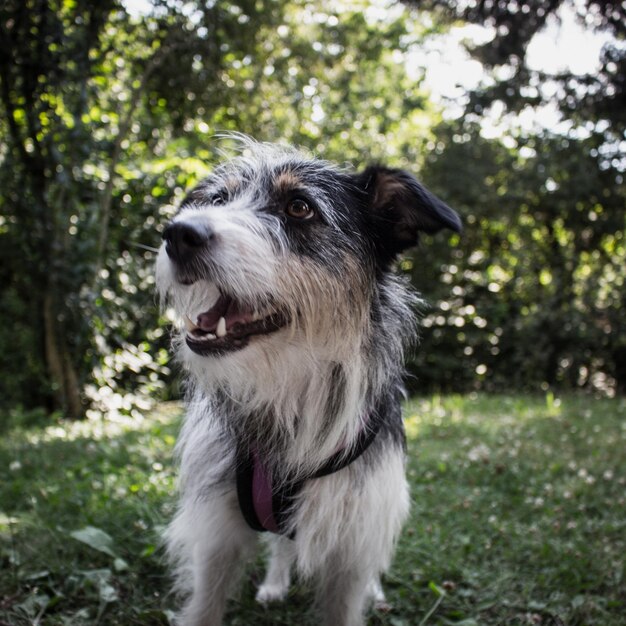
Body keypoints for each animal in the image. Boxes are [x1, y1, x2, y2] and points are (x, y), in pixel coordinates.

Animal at [156, 138, 458, 624]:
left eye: (300, 207)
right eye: (218, 200)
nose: (178, 234)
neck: (288, 386)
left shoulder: (354, 531)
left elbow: (348, 594)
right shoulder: (217, 533)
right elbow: (205, 605)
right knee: (282, 543)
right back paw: (275, 583)